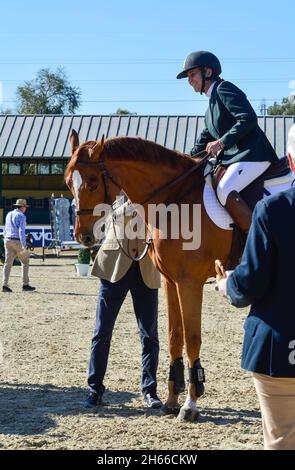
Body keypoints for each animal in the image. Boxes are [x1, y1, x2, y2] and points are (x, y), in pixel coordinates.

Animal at [65, 129, 234, 422]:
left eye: (93, 183)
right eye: (68, 184)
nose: (82, 236)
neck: (177, 197)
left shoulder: (189, 282)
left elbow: (192, 338)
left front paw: (190, 404)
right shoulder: (171, 281)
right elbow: (174, 336)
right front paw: (171, 400)